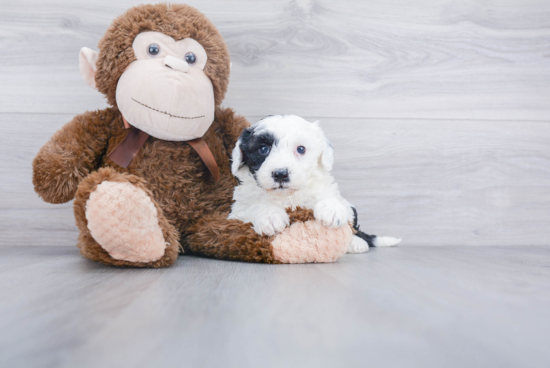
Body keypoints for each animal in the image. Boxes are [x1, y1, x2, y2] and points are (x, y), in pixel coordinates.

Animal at [229, 115, 402, 253]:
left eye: (301, 149)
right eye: (263, 149)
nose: (280, 174)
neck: (288, 196)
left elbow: (331, 198)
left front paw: (331, 210)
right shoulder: (236, 212)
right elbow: (253, 207)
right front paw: (270, 216)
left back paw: (357, 243)